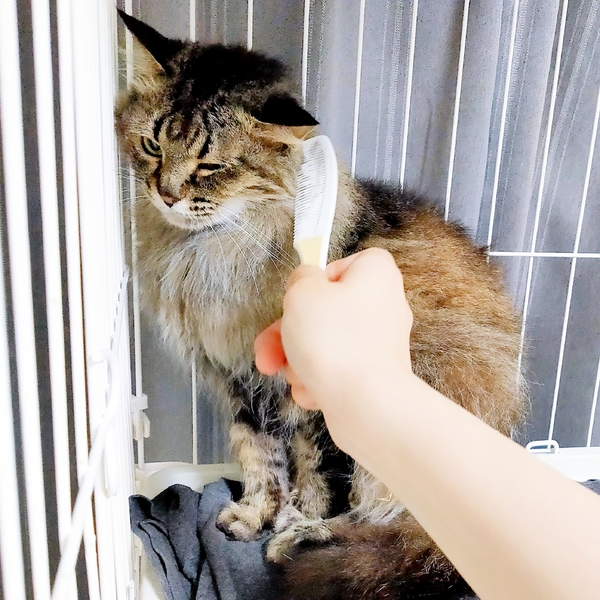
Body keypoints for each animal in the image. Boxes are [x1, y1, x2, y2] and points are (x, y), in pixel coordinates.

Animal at [116, 11, 527, 599]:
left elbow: (313, 476)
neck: (207, 254)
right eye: (152, 145)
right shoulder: (239, 382)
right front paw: (251, 516)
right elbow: (259, 458)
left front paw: (292, 522)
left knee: (383, 522)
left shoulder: (312, 404)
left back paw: (302, 541)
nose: (166, 195)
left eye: (210, 165)